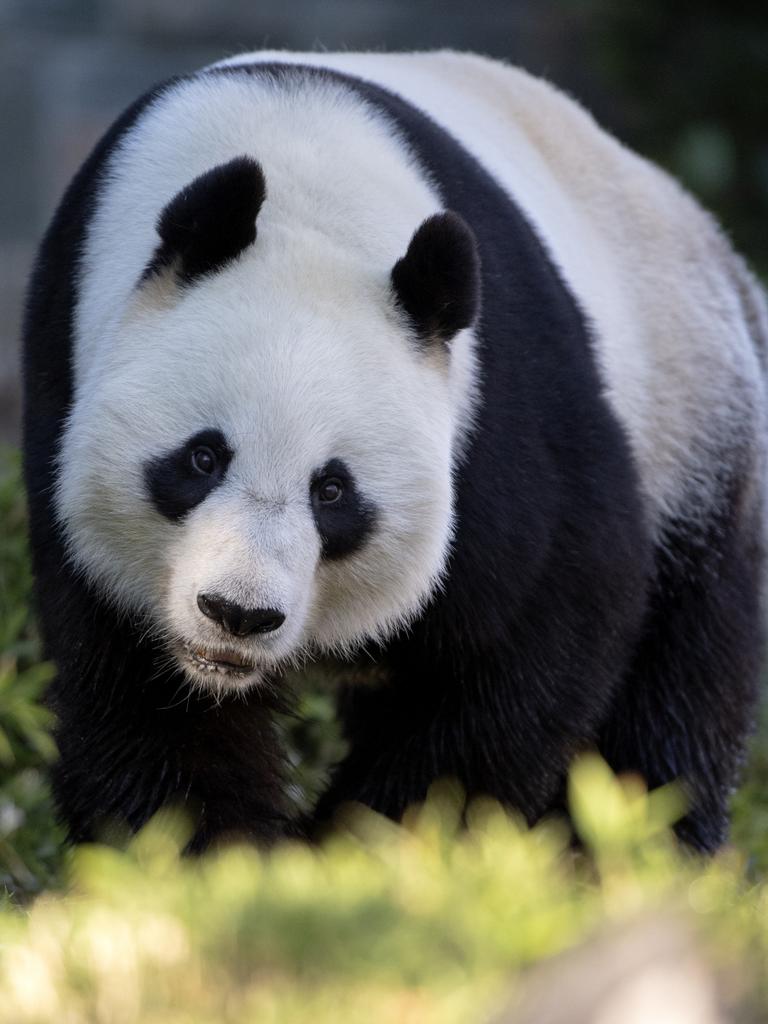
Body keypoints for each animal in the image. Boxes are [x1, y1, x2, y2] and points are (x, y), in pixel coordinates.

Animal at [24, 48, 768, 851]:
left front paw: (371, 844)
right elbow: (133, 687)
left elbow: (536, 630)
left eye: (332, 490)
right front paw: (209, 853)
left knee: (682, 681)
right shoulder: (63, 368)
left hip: (691, 422)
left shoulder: (502, 422)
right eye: (203, 458)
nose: (239, 614)